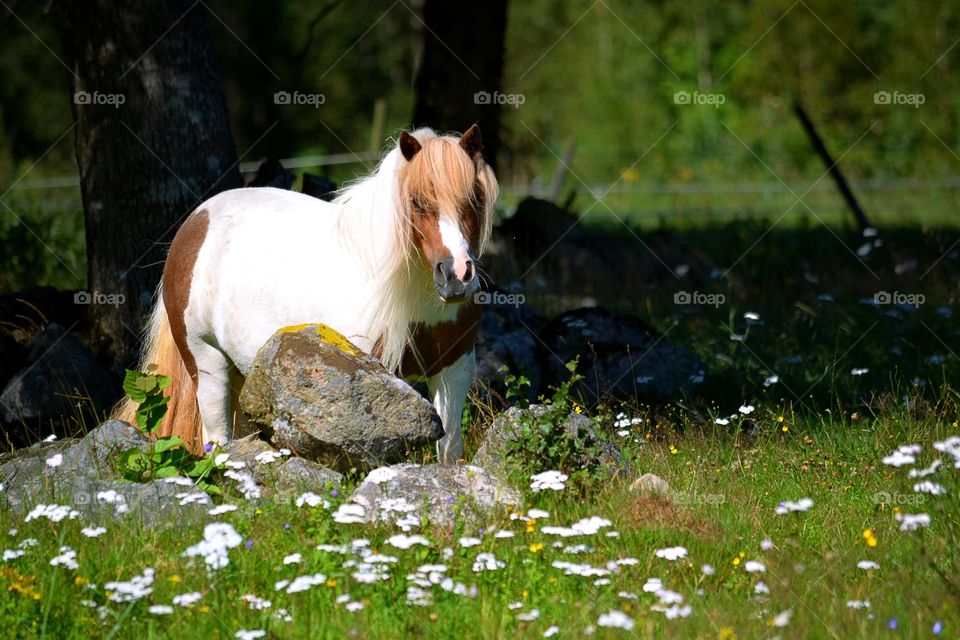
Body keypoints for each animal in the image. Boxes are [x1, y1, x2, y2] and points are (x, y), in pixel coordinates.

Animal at [114, 125, 498, 464]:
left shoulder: (453, 369)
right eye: (417, 202)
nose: (456, 277)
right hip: (207, 364)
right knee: (216, 441)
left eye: (474, 198)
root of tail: (195, 223)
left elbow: (448, 449)